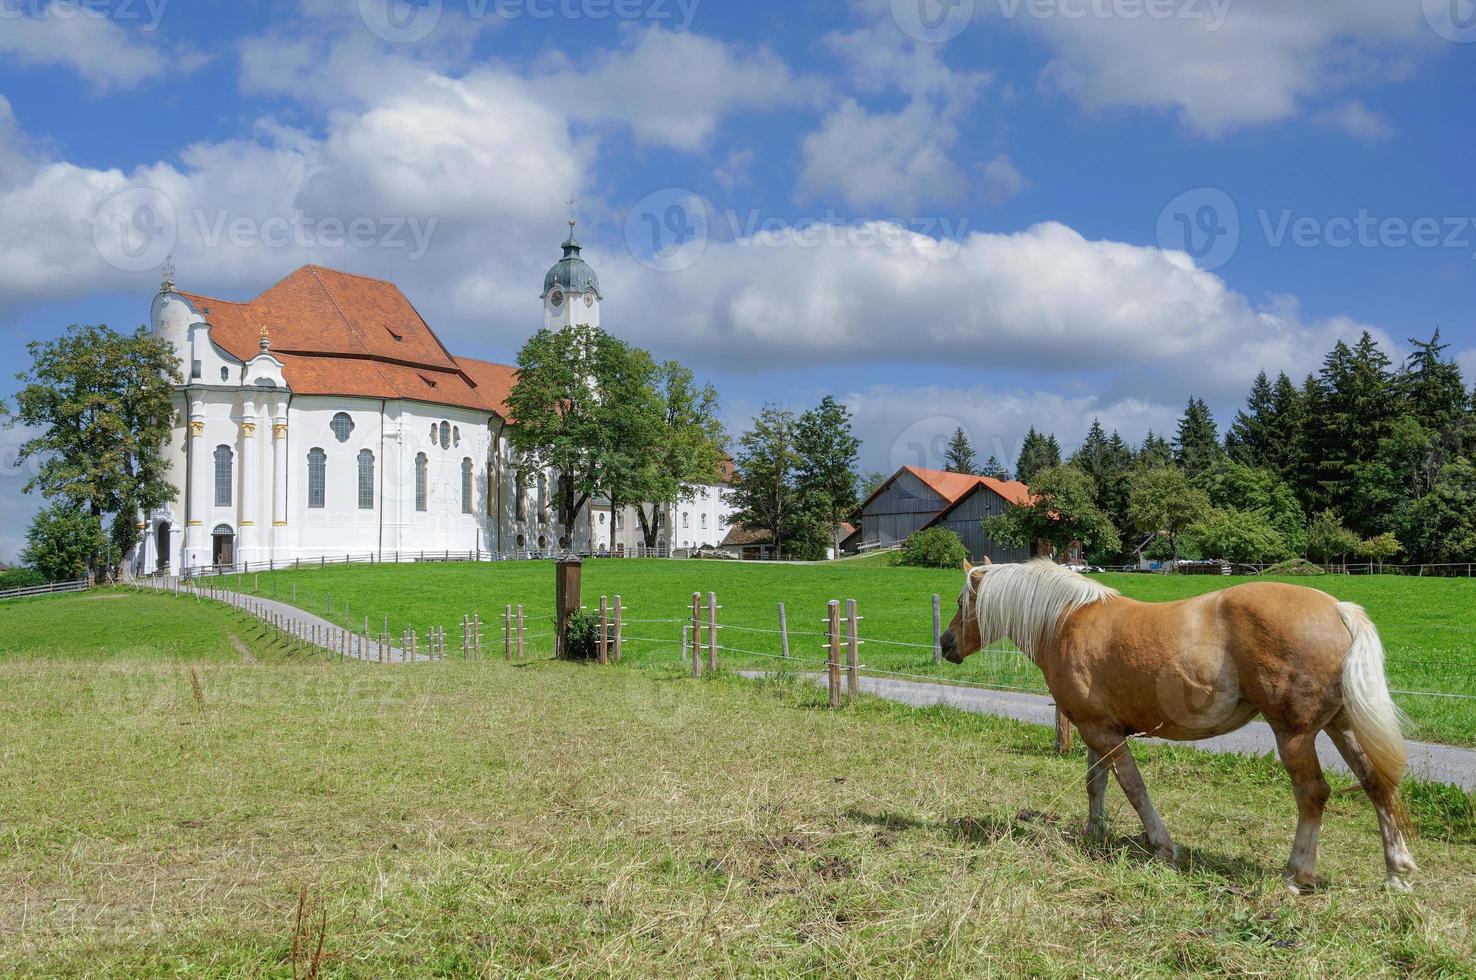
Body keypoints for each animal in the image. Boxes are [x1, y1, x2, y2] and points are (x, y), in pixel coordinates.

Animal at [938, 554, 1411, 891]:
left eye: (962, 603)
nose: (945, 644)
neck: (1066, 620)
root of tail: (1338, 609)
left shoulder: (1104, 733)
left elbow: (1133, 787)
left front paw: (1163, 846)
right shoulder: (1095, 729)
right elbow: (1096, 782)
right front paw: (1095, 833)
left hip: (1294, 735)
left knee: (1313, 794)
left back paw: (1298, 874)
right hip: (1340, 726)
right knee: (1376, 784)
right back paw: (1397, 872)